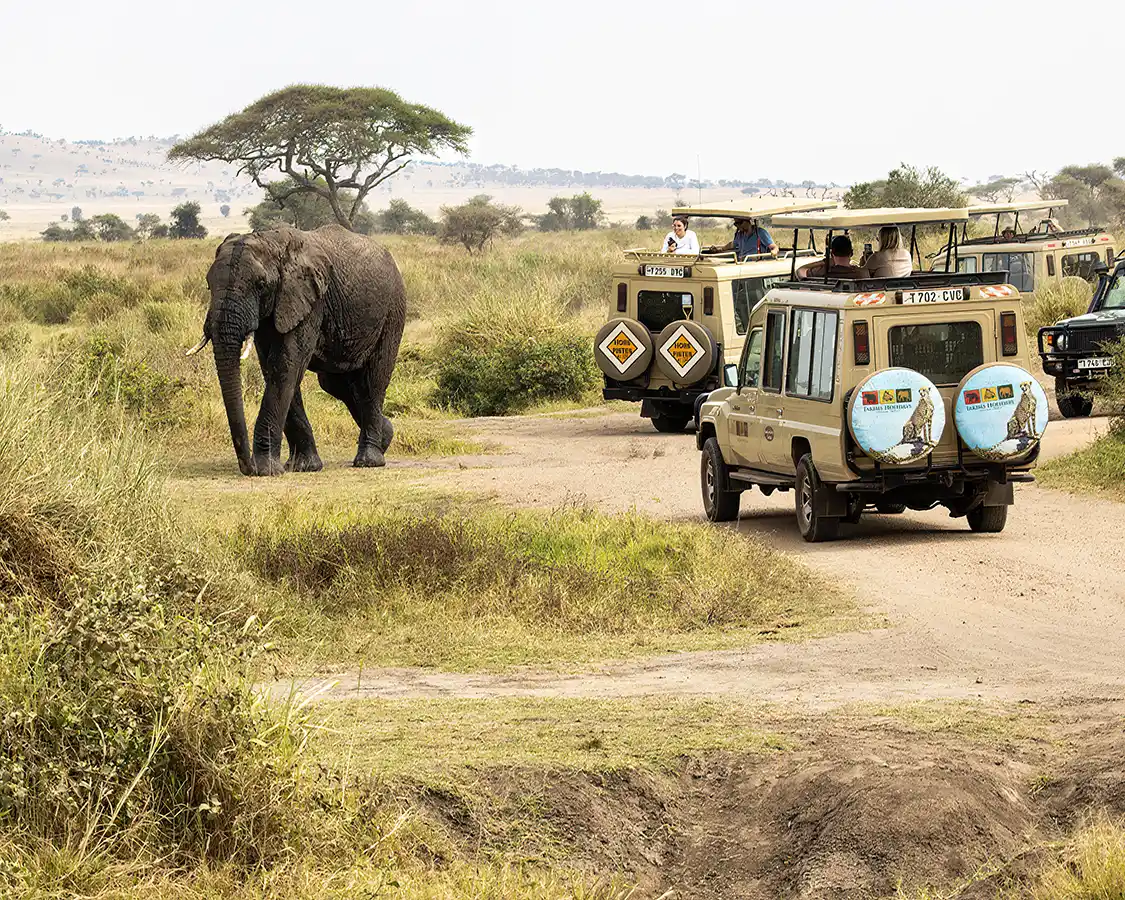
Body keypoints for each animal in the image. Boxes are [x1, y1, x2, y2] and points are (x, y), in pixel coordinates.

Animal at [186, 224, 407, 476]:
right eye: (208, 284)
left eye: (260, 285)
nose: (247, 468)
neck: (271, 241)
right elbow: (275, 369)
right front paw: (303, 467)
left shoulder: (311, 301)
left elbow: (286, 366)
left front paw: (266, 470)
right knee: (336, 385)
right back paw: (386, 436)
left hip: (392, 311)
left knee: (373, 381)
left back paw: (369, 460)